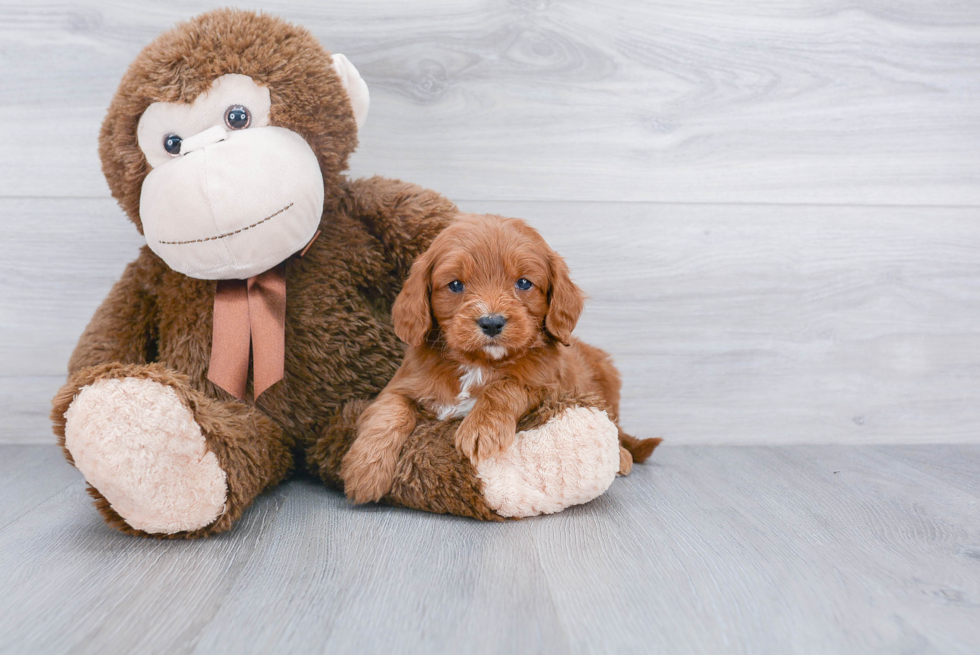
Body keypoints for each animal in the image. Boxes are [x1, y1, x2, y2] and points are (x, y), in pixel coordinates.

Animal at [340, 213, 664, 504]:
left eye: (523, 283)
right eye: (455, 285)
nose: (492, 322)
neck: (478, 363)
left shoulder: (546, 386)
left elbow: (505, 386)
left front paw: (481, 428)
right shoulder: (401, 385)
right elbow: (388, 413)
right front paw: (364, 470)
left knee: (616, 428)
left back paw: (622, 456)